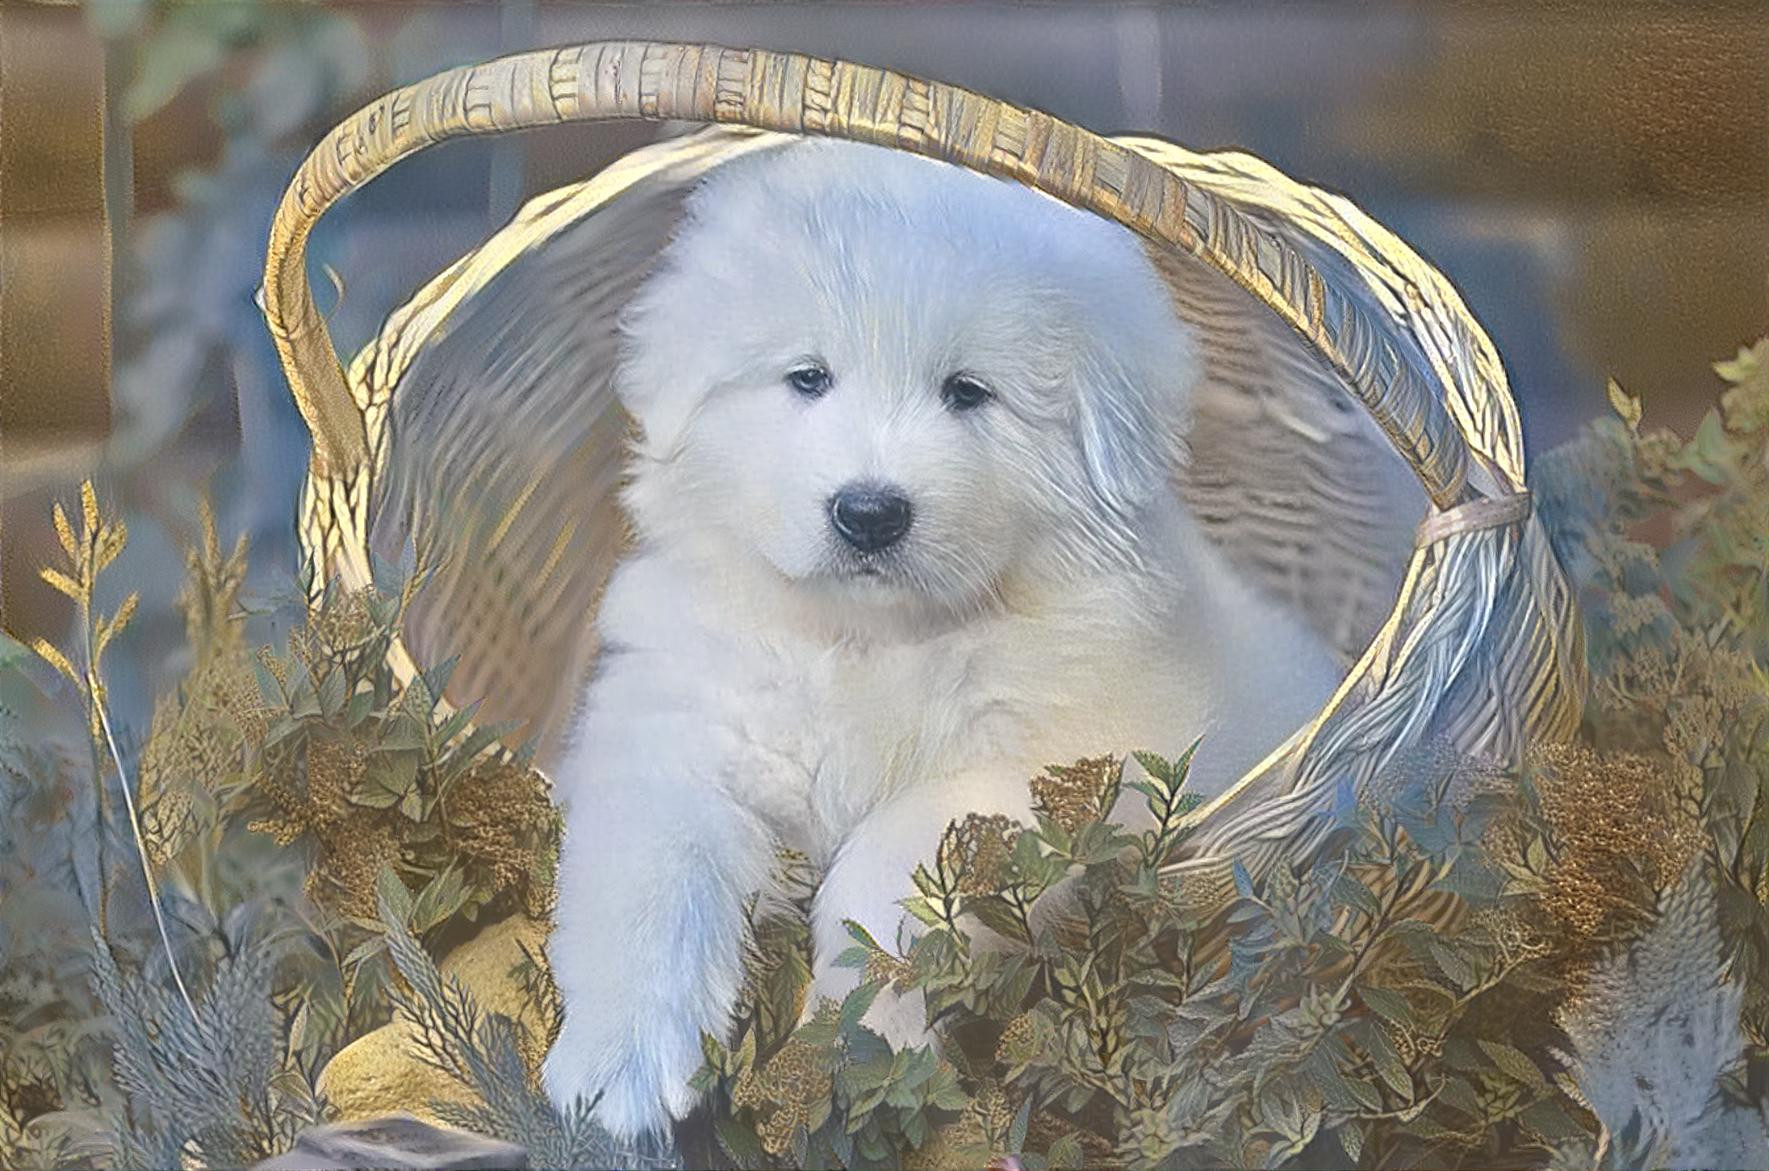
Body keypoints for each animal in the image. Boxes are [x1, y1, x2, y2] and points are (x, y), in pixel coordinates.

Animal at [541, 135, 1337, 1139]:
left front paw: (853, 1040)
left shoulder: (1074, 764)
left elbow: (895, 852)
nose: (868, 513)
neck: (871, 642)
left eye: (968, 392)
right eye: (808, 377)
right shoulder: (677, 726)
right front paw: (613, 1071)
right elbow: (647, 876)